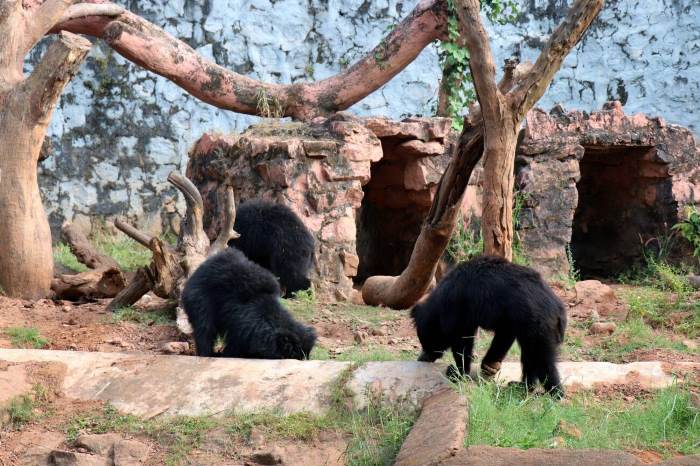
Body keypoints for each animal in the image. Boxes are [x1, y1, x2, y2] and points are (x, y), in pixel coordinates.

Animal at [180, 249, 318, 358]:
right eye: (293, 356)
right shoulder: (241, 323)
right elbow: (235, 341)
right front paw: (230, 354)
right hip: (200, 299)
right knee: (204, 327)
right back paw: (207, 353)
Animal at [410, 255, 568, 396]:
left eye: (425, 341)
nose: (421, 358)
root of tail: (559, 311)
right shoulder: (508, 321)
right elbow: (502, 337)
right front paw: (488, 366)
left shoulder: (459, 309)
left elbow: (462, 342)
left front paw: (457, 372)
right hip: (529, 327)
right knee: (529, 356)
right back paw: (521, 386)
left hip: (538, 325)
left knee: (542, 359)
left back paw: (555, 393)